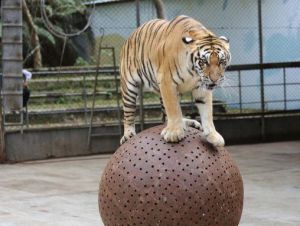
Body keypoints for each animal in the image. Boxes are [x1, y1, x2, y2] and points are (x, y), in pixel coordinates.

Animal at [119, 15, 230, 147]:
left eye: (221, 61)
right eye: (204, 62)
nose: (215, 79)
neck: (193, 72)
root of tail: (130, 36)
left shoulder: (202, 88)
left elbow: (207, 112)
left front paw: (213, 136)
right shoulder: (167, 83)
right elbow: (173, 109)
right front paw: (174, 133)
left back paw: (187, 122)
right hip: (129, 86)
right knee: (128, 113)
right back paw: (128, 134)